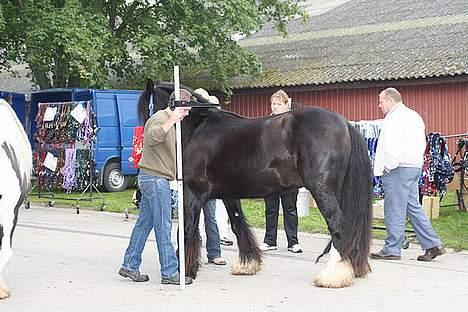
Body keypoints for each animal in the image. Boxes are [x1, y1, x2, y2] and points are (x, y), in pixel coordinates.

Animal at [137, 80, 372, 288]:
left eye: (145, 111)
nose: (140, 146)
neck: (198, 129)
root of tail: (344, 123)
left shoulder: (193, 193)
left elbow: (186, 230)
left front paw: (184, 270)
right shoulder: (228, 195)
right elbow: (237, 223)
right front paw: (247, 263)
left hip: (322, 190)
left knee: (338, 225)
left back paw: (333, 276)